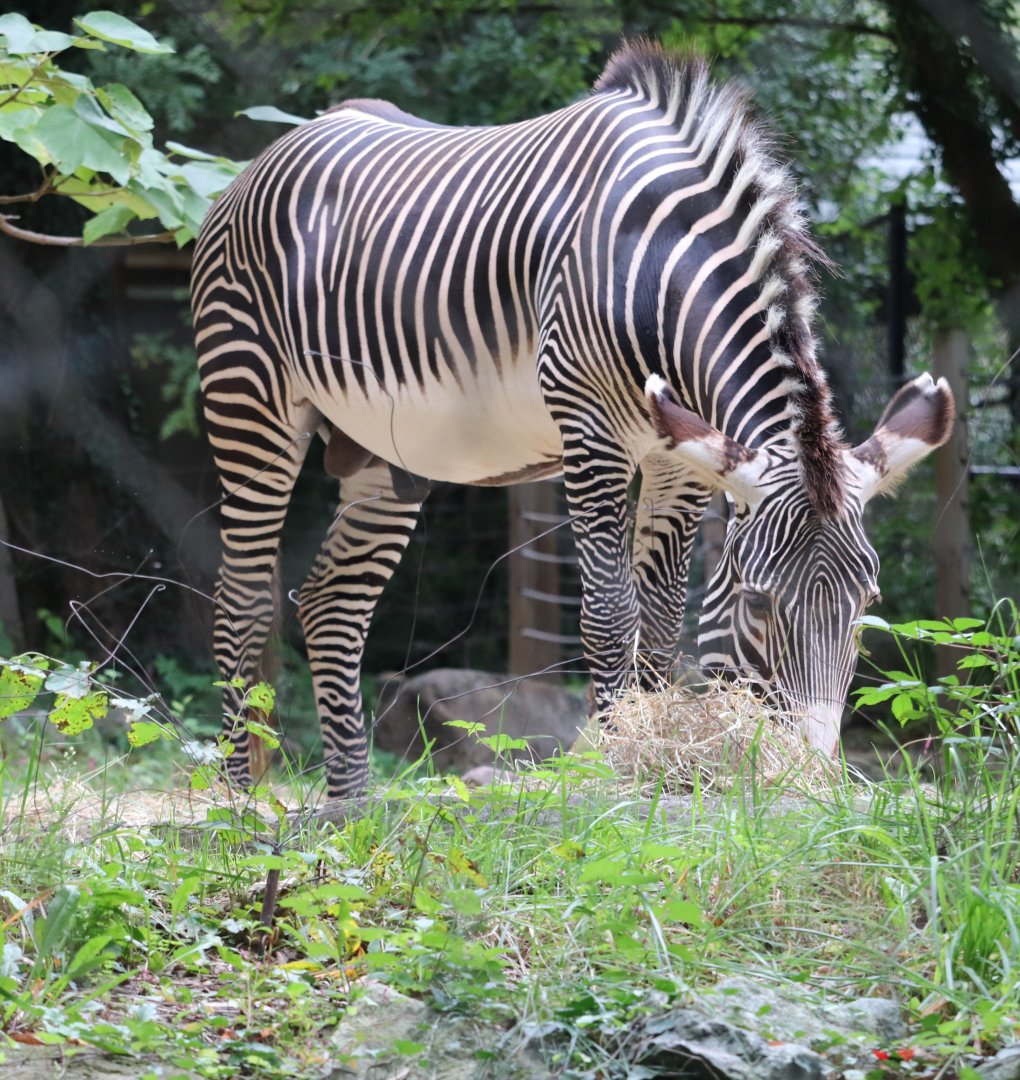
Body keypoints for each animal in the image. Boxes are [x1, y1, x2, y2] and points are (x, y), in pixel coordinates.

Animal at [191, 41, 954, 799]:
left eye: (868, 602)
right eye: (760, 604)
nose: (813, 777)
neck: (656, 268)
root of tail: (273, 151)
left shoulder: (677, 456)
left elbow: (661, 618)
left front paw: (648, 760)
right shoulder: (591, 433)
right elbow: (611, 614)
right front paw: (610, 771)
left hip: (384, 446)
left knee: (331, 604)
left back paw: (350, 806)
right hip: (248, 395)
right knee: (242, 597)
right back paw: (239, 800)